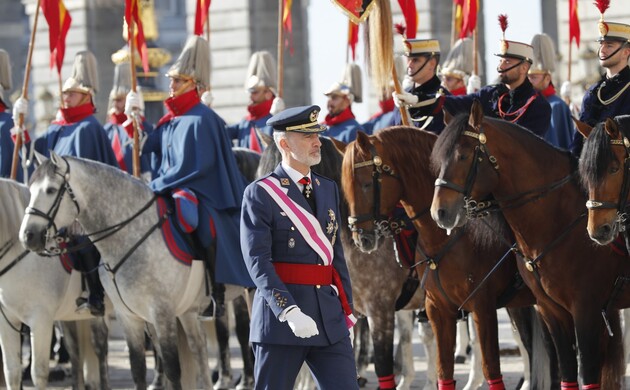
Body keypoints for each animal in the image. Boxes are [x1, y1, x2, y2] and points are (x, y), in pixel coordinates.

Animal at [17, 154, 215, 388]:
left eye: (50, 189)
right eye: (30, 190)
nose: (27, 236)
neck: (134, 234)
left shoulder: (162, 314)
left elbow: (173, 372)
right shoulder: (129, 316)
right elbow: (138, 370)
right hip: (188, 311)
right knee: (199, 352)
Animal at [432, 101, 628, 390]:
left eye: (464, 155)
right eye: (439, 158)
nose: (440, 213)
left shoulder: (587, 310)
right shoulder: (551, 311)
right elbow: (567, 372)